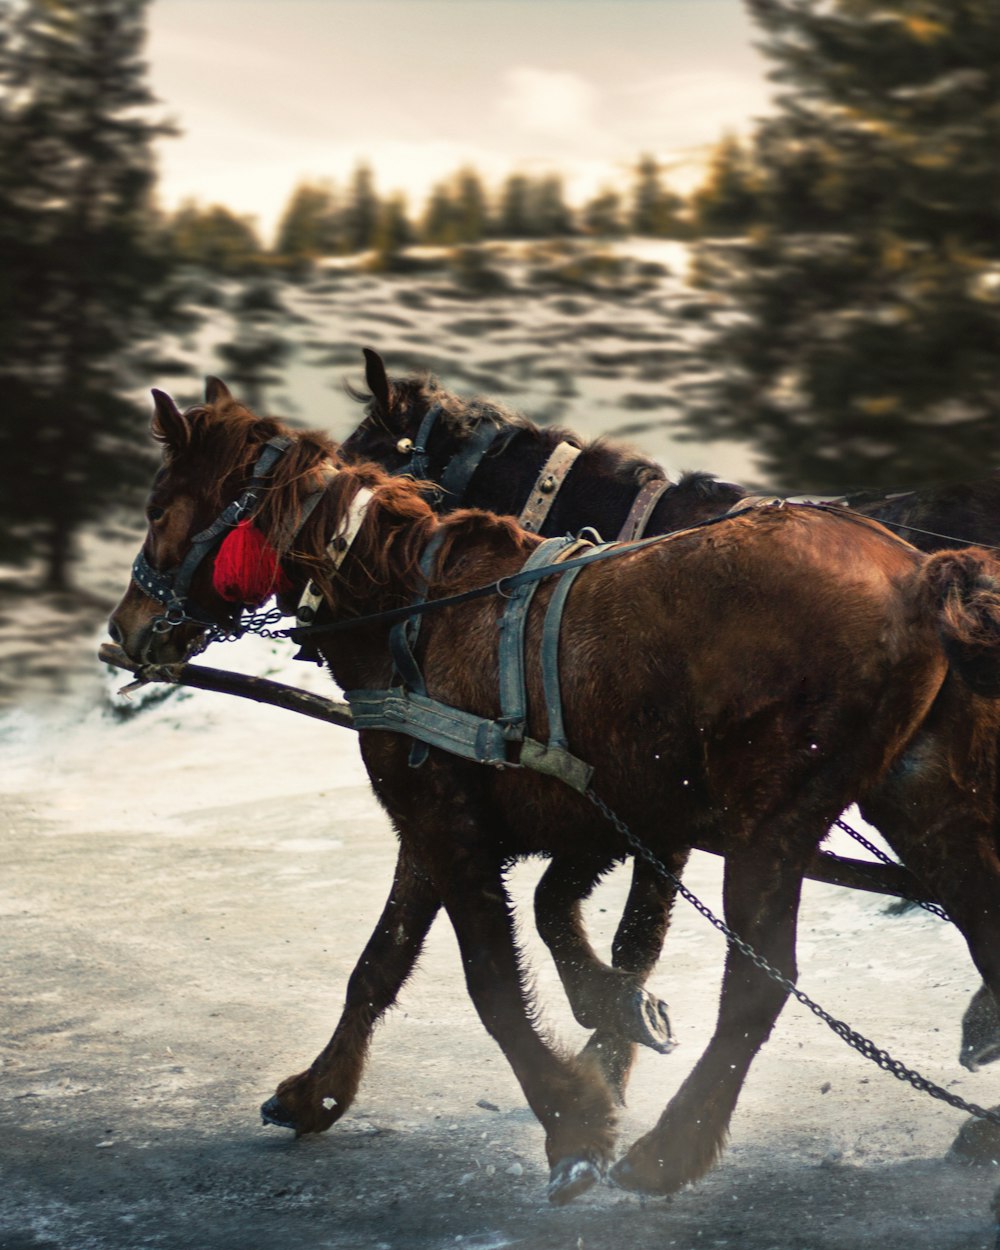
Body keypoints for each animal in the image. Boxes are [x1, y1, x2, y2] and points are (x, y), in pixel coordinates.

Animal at [109, 377, 1000, 1200]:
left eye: (157, 509)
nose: (125, 628)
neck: (417, 611)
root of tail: (918, 574)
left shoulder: (492, 830)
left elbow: (501, 981)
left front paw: (577, 1119)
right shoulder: (466, 819)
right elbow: (389, 958)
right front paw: (317, 1092)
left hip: (770, 825)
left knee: (759, 980)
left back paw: (672, 1150)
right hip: (922, 804)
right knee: (979, 920)